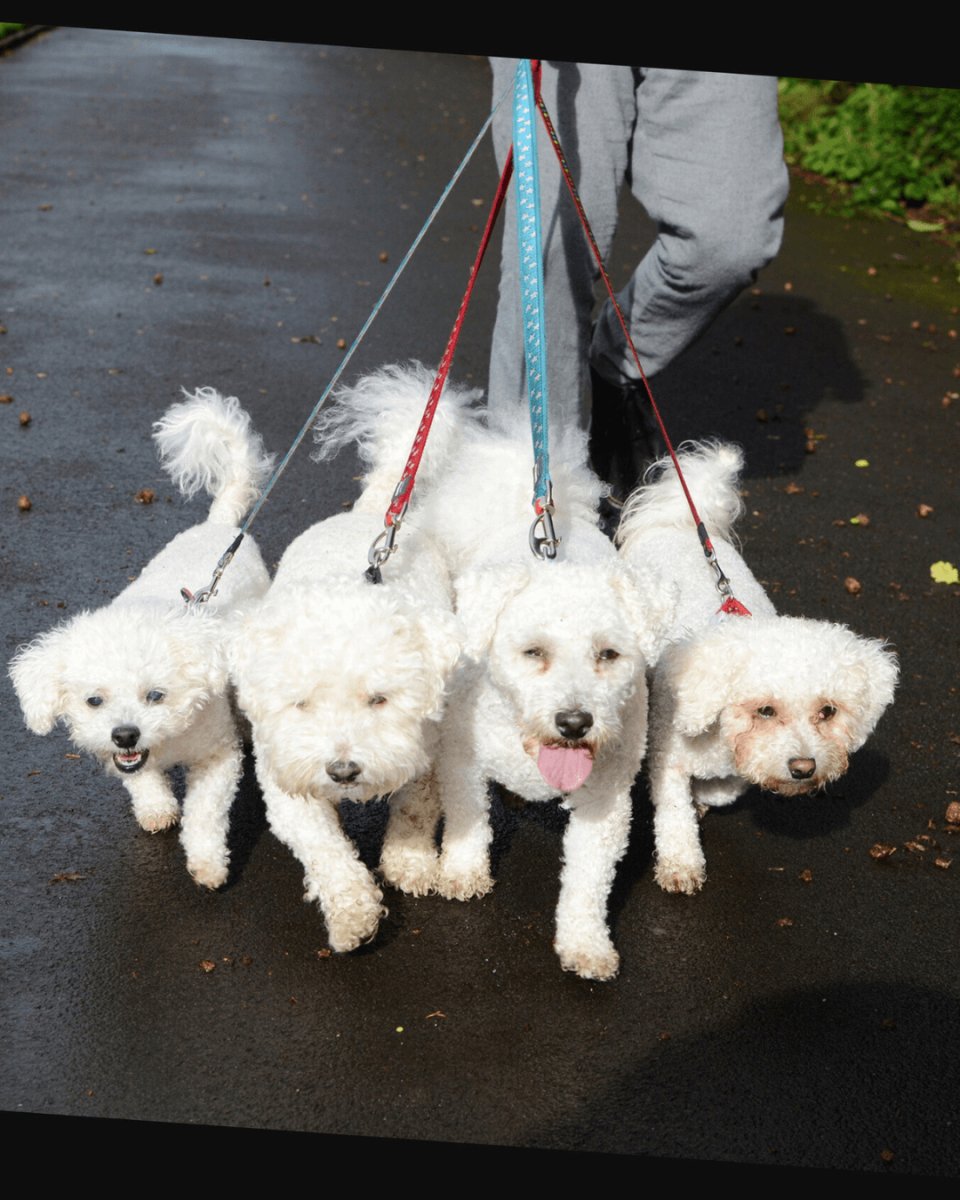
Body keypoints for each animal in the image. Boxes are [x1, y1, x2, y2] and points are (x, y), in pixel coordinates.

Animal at [9, 388, 273, 888]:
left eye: (156, 695)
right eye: (94, 701)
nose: (125, 734)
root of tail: (220, 524)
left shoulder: (216, 756)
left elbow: (205, 814)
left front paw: (208, 863)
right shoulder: (126, 759)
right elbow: (140, 779)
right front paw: (156, 807)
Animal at [225, 364, 465, 955]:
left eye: (379, 699)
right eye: (300, 704)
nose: (342, 770)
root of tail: (373, 513)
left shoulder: (425, 748)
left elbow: (416, 805)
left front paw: (408, 862)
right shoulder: (285, 775)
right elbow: (324, 847)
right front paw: (353, 912)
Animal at [415, 412, 672, 984]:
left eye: (609, 654)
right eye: (533, 652)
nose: (574, 722)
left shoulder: (605, 801)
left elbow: (589, 880)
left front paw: (585, 944)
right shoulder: (460, 760)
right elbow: (467, 817)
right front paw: (461, 872)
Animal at [614, 441, 902, 892]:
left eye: (828, 711)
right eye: (765, 710)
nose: (803, 769)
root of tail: (677, 519)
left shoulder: (738, 764)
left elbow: (729, 788)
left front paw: (708, 796)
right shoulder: (668, 758)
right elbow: (674, 816)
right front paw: (681, 864)